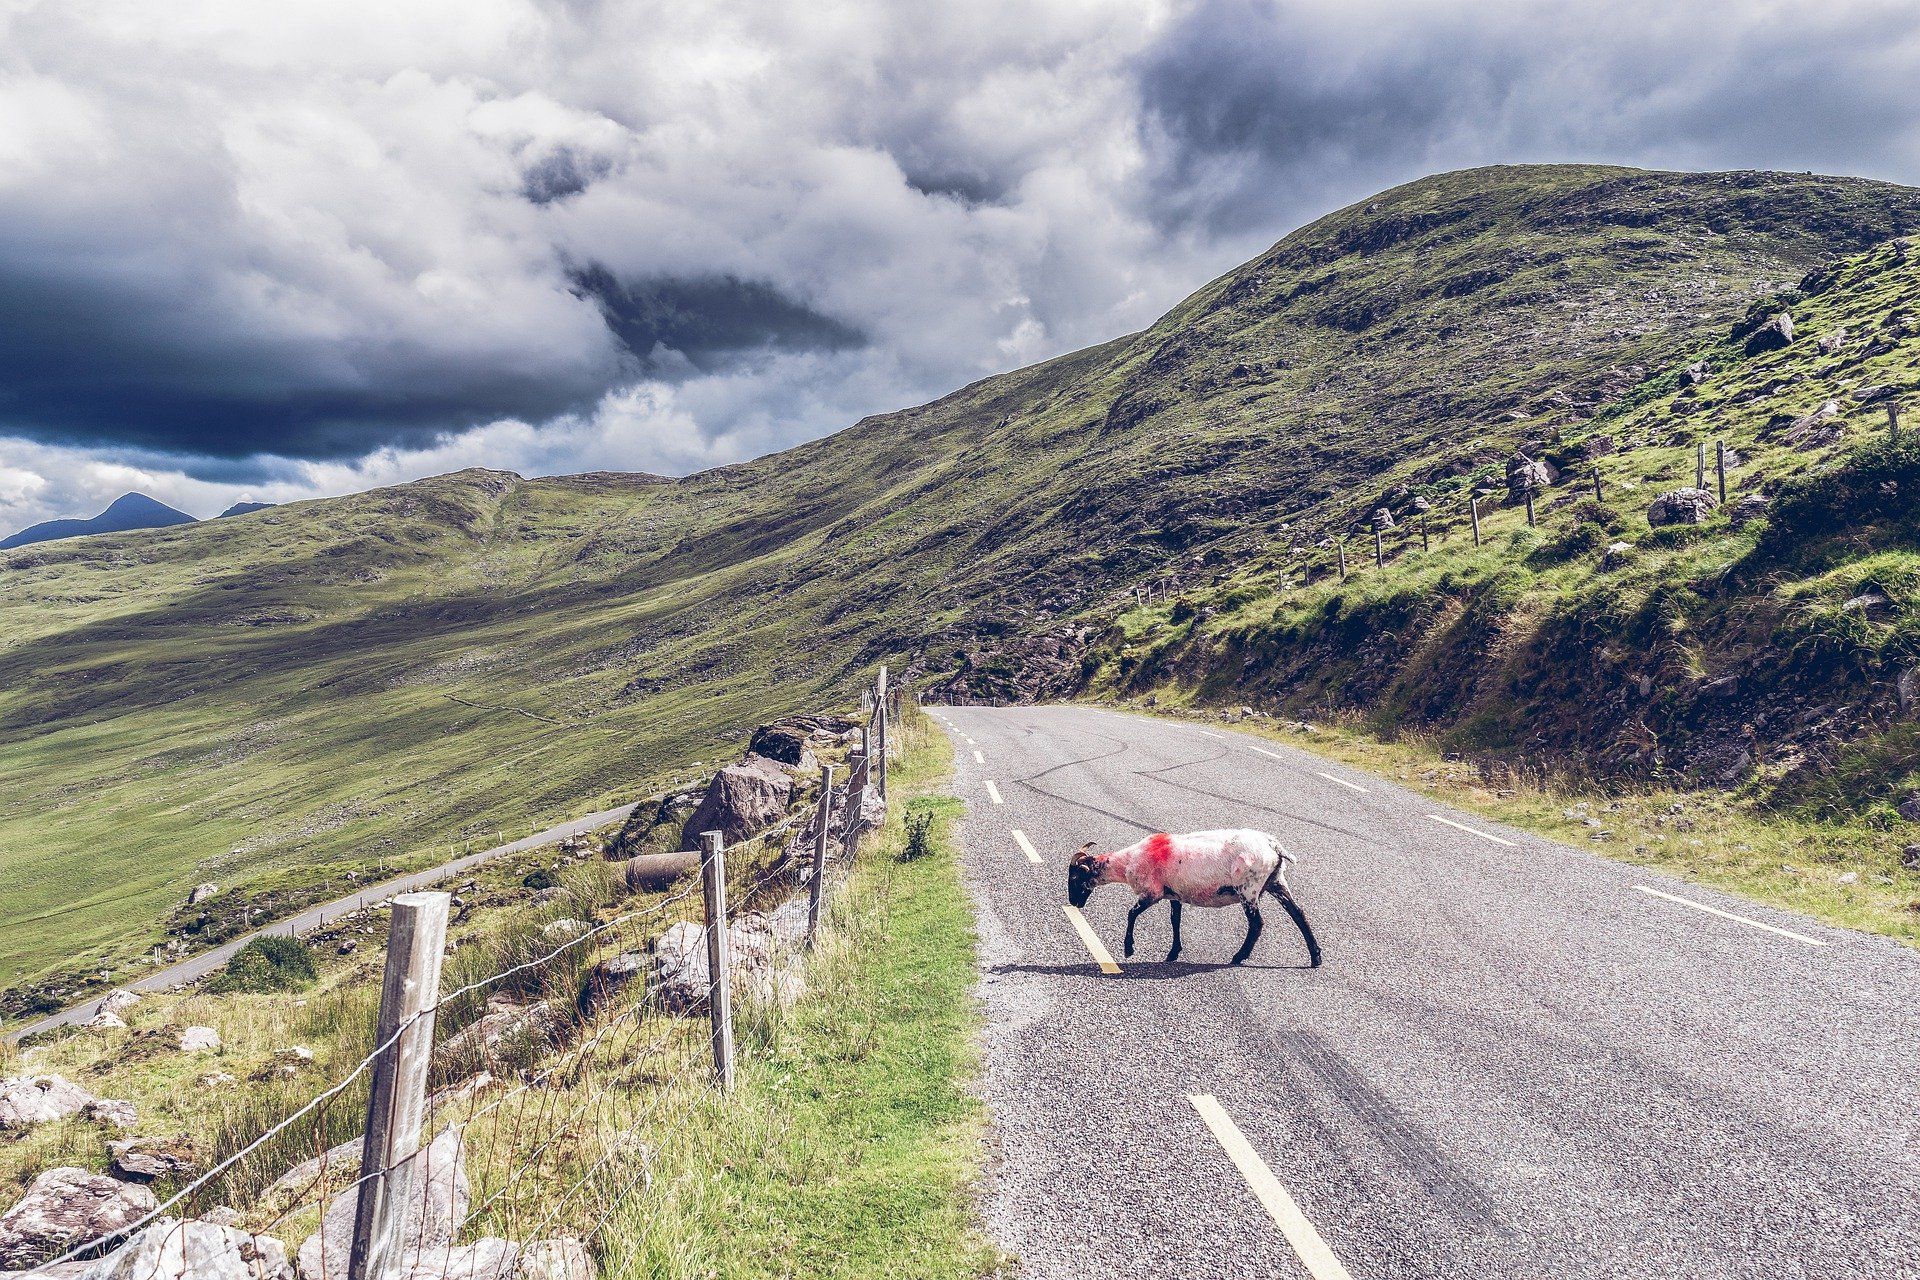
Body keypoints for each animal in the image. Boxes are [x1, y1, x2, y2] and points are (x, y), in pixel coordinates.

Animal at [1067, 836, 1320, 967]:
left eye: (1075, 878)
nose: (1073, 903)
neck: (1126, 862)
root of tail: (1273, 846)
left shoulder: (1152, 893)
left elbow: (1131, 913)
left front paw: (1129, 948)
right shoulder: (1173, 895)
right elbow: (1175, 921)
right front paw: (1173, 953)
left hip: (1249, 887)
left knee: (1257, 923)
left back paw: (1239, 957)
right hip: (1276, 881)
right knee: (1299, 914)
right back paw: (1316, 956)